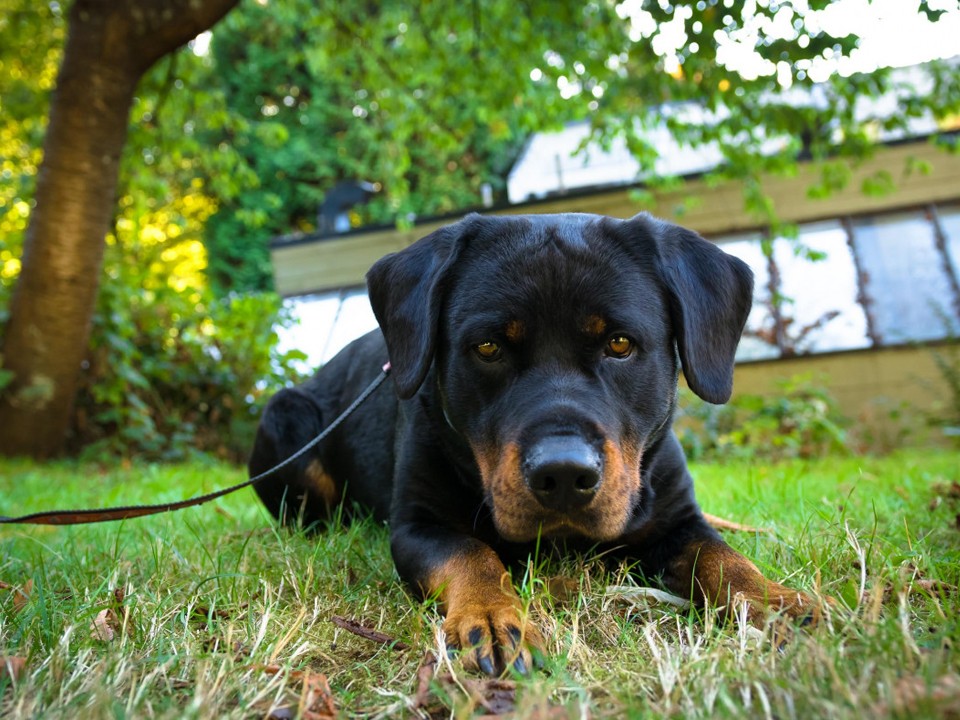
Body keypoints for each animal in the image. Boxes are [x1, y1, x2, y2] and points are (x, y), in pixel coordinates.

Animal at [251, 212, 820, 676]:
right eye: (488, 347)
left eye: (620, 344)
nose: (564, 474)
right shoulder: (417, 525)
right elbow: (471, 552)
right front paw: (491, 616)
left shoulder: (678, 517)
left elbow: (720, 556)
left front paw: (774, 600)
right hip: (286, 416)